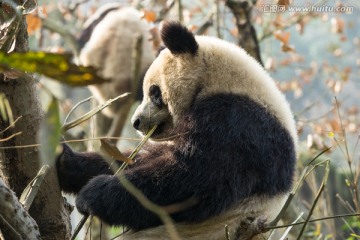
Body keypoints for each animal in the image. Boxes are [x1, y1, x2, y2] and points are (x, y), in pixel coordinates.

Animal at [57, 21, 298, 239]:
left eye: (154, 92)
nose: (137, 122)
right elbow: (139, 158)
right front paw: (65, 162)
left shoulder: (239, 123)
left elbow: (193, 179)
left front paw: (93, 194)